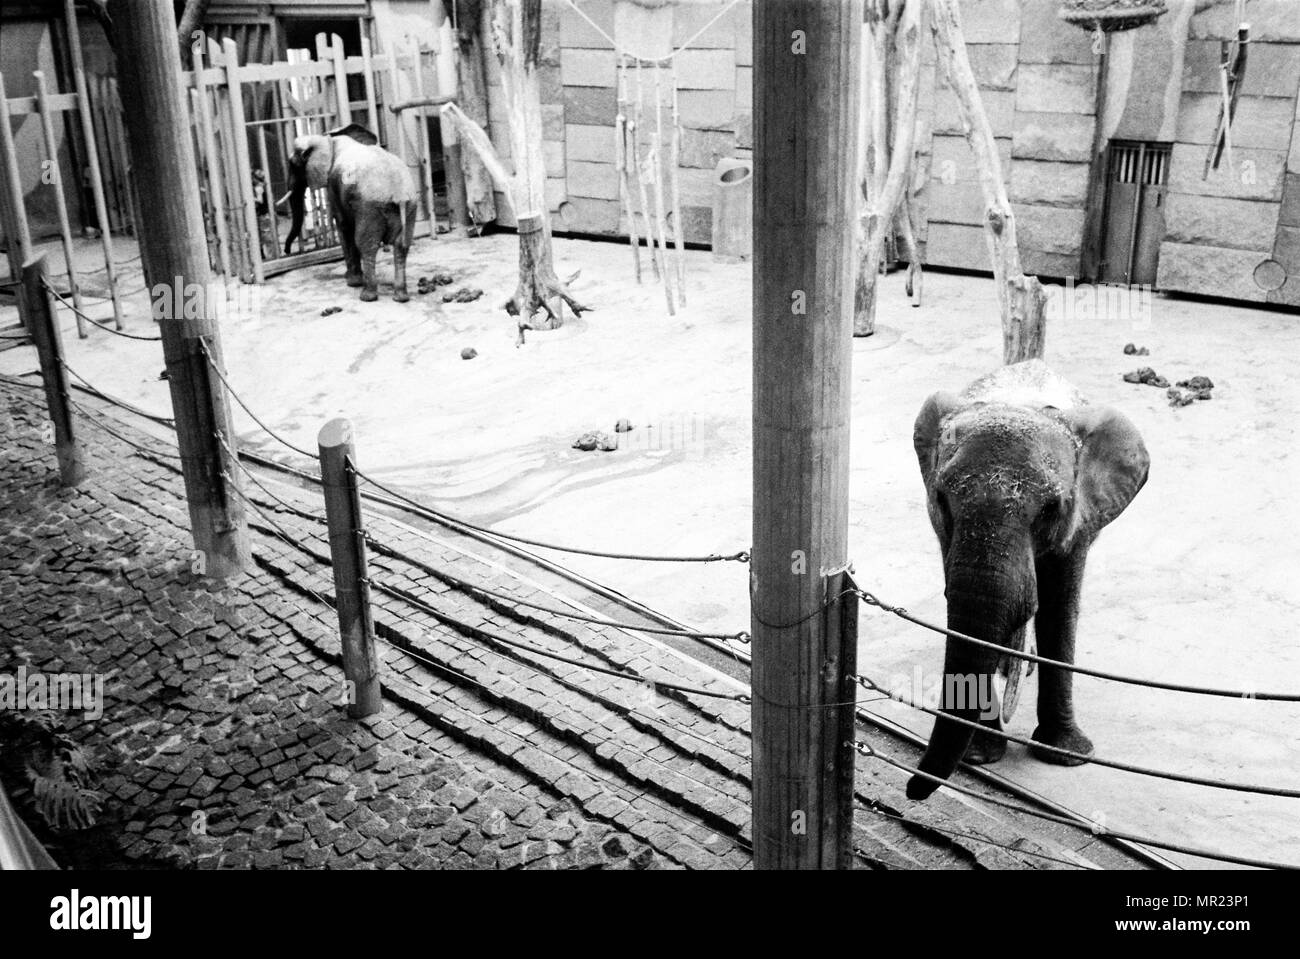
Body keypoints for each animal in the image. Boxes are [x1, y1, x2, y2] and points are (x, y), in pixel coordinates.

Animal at [284, 123, 416, 300]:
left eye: (293, 164)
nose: (286, 251)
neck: (329, 139)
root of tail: (399, 194)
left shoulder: (333, 186)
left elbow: (343, 226)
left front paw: (352, 281)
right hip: (409, 207)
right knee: (402, 245)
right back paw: (401, 297)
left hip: (370, 208)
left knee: (367, 245)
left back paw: (366, 296)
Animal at [904, 358, 1149, 800]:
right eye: (942, 498)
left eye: (1052, 508)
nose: (912, 790)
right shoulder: (944, 528)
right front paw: (980, 756)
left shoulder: (1081, 517)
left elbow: (1058, 608)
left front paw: (1067, 756)